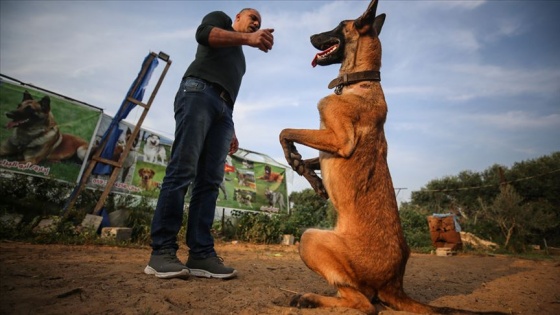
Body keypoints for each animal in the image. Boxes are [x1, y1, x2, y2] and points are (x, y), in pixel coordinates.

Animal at [280, 1, 508, 314]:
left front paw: (294, 157)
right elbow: (305, 154)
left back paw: (310, 298)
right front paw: (309, 173)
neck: (360, 82)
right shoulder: (328, 145)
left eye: (339, 25)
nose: (311, 36)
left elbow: (285, 131)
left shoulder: (339, 140)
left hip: (310, 239)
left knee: (363, 304)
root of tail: (394, 285)